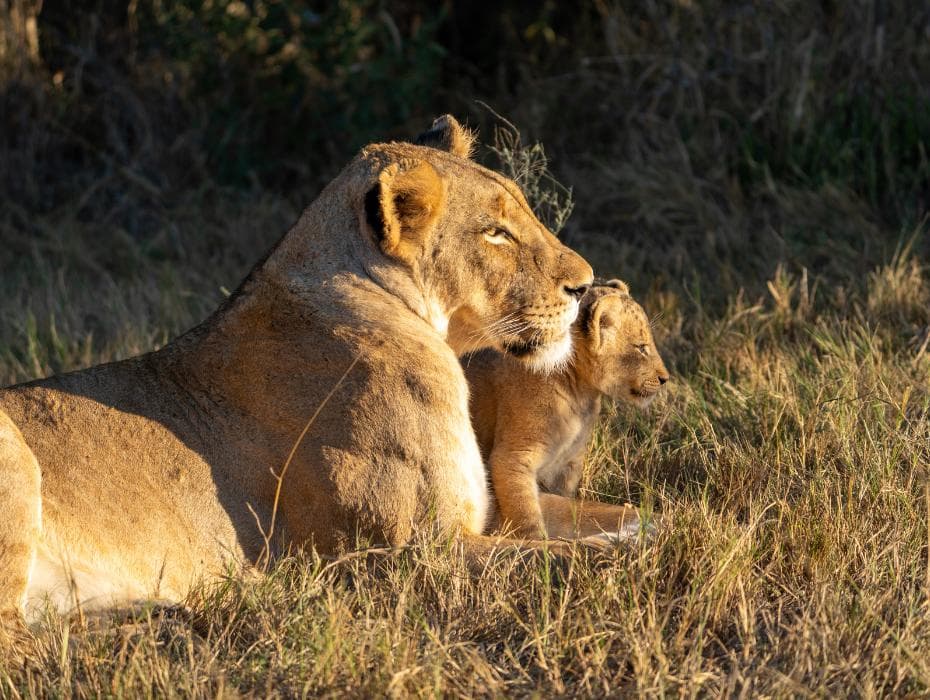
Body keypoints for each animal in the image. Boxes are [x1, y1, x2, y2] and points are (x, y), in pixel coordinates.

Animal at [464, 279, 670, 541]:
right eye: (641, 348)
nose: (665, 379)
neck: (581, 393)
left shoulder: (568, 463)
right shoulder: (512, 458)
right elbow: (525, 512)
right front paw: (536, 543)